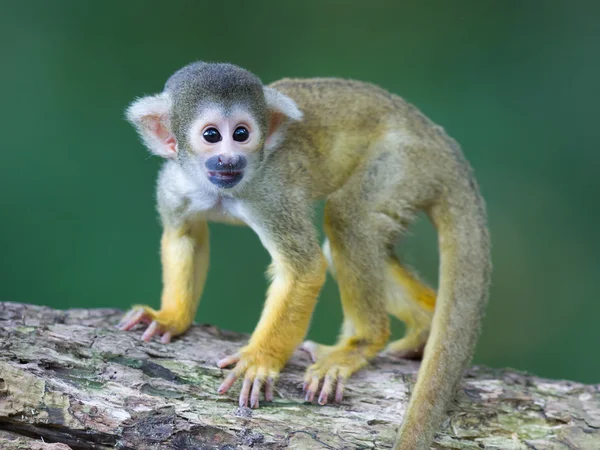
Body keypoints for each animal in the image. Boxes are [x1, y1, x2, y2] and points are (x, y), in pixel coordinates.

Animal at [118, 60, 492, 450]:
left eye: (241, 133)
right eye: (211, 135)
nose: (229, 158)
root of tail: (440, 140)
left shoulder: (272, 192)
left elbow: (306, 268)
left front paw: (260, 360)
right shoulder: (174, 182)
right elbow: (184, 236)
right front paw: (171, 318)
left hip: (404, 163)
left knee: (347, 218)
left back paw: (362, 343)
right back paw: (424, 325)